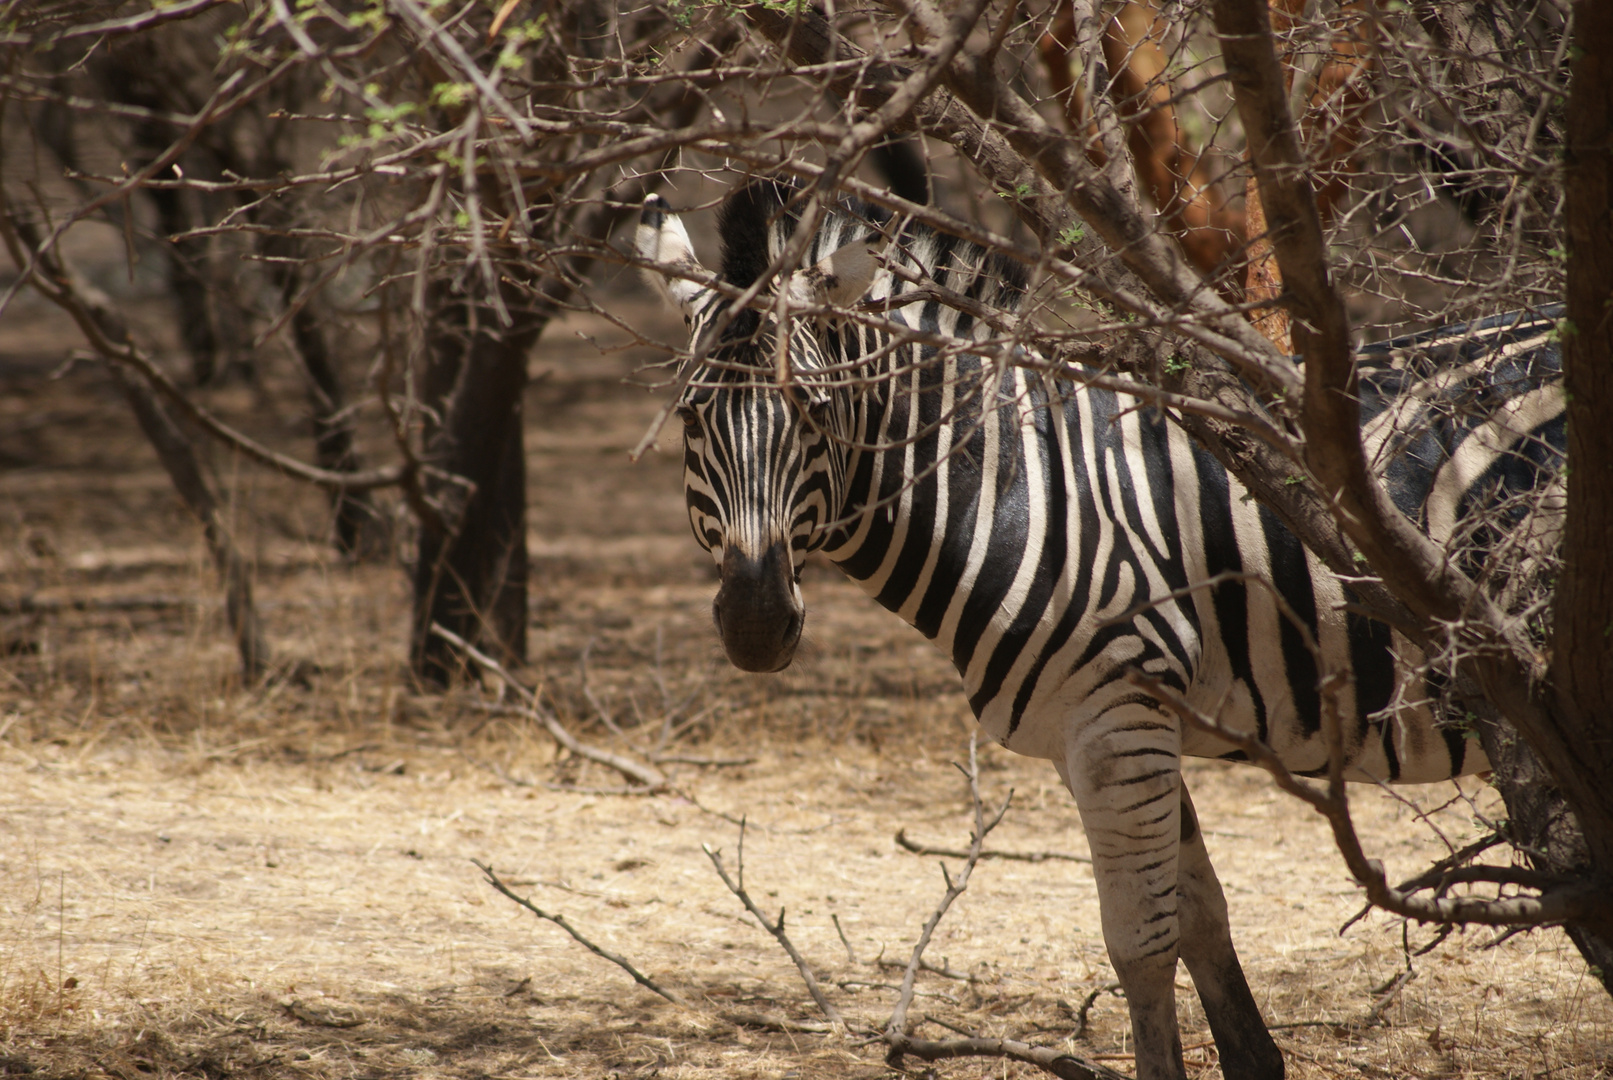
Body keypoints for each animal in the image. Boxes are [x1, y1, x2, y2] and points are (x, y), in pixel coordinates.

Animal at [632, 182, 1561, 1080]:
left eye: (818, 415)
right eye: (688, 417)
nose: (755, 626)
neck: (1015, 486)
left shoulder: (1117, 715)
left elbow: (1139, 943)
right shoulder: (1128, 719)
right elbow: (1201, 918)